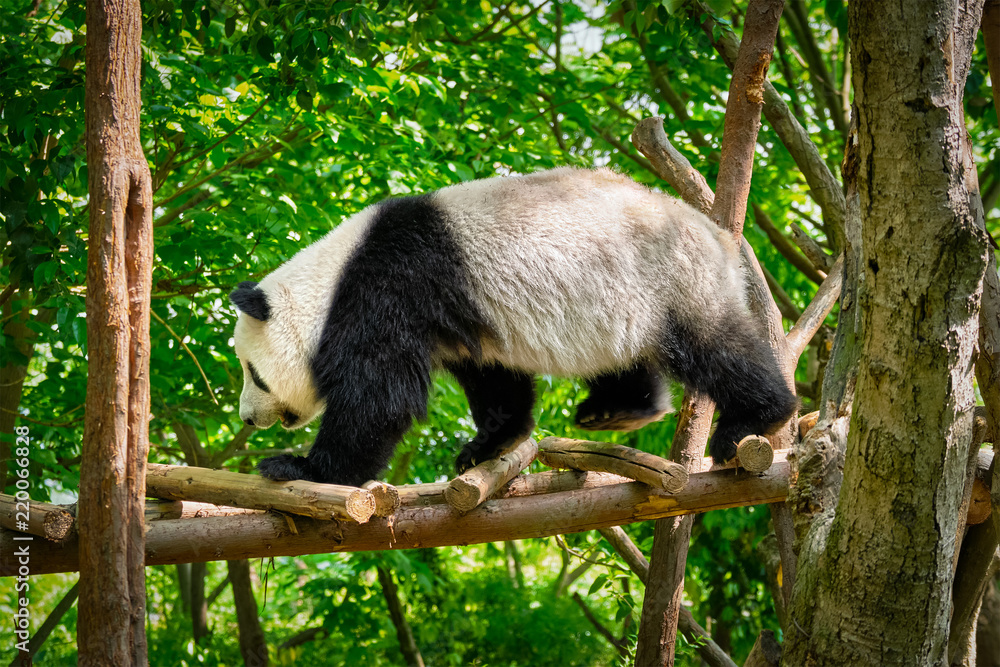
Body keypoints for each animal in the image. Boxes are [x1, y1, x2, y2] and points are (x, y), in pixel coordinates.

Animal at [230, 167, 797, 486]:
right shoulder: (460, 315)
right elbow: (491, 375)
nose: (248, 418)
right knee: (627, 354)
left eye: (254, 373)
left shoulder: (388, 291)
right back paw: (617, 410)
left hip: (672, 276)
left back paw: (754, 419)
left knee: (717, 348)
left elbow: (379, 397)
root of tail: (719, 237)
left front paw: (300, 468)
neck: (332, 279)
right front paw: (490, 444)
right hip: (622, 302)